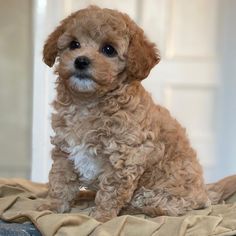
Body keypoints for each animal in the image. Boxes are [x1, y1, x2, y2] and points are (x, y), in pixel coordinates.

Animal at [42, 6, 236, 223]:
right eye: (74, 44)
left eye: (108, 49)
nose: (81, 61)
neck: (88, 103)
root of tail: (204, 191)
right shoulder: (65, 151)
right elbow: (60, 181)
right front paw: (51, 208)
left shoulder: (125, 158)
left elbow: (110, 192)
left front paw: (101, 217)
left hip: (156, 195)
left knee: (155, 207)